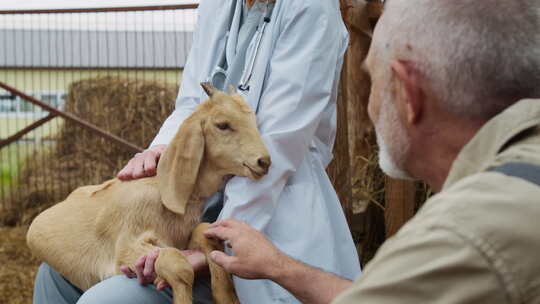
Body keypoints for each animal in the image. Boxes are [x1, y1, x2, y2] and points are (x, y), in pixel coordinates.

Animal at [26, 82, 270, 302]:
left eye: (253, 121)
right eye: (222, 124)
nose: (264, 161)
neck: (163, 194)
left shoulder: (181, 239)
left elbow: (203, 233)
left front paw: (225, 295)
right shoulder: (125, 248)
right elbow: (179, 266)